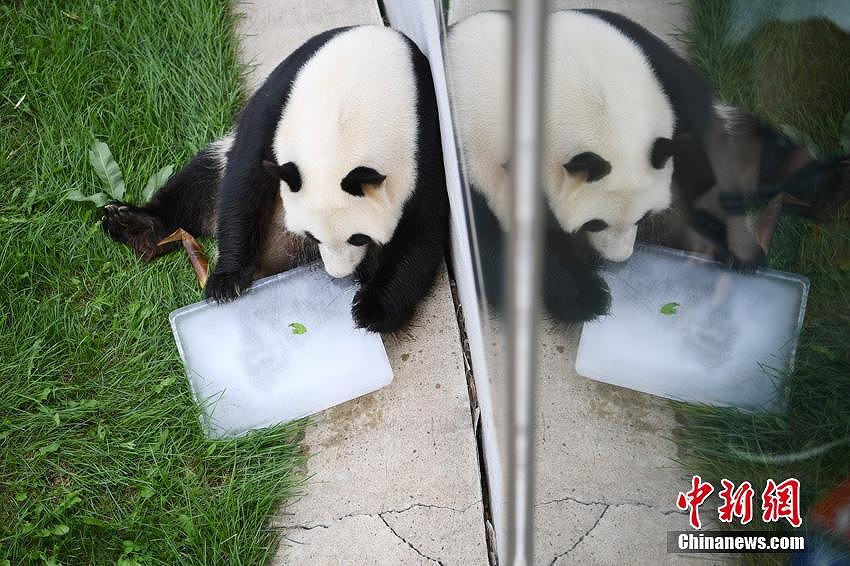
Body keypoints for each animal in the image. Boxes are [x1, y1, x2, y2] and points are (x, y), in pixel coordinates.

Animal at [102, 26, 448, 336]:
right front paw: (227, 280)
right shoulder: (280, 101)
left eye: (359, 238)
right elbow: (244, 179)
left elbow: (421, 228)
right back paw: (135, 227)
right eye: (312, 235)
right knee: (196, 187)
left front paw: (372, 308)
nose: (339, 273)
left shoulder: (421, 141)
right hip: (217, 159)